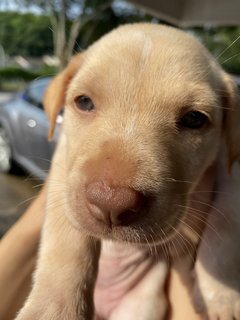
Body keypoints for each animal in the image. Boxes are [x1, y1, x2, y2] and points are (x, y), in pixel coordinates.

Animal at [16, 23, 240, 318]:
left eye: (194, 118)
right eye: (84, 102)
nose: (111, 203)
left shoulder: (231, 170)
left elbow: (225, 229)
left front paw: (222, 297)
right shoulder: (63, 166)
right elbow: (66, 238)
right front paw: (53, 308)